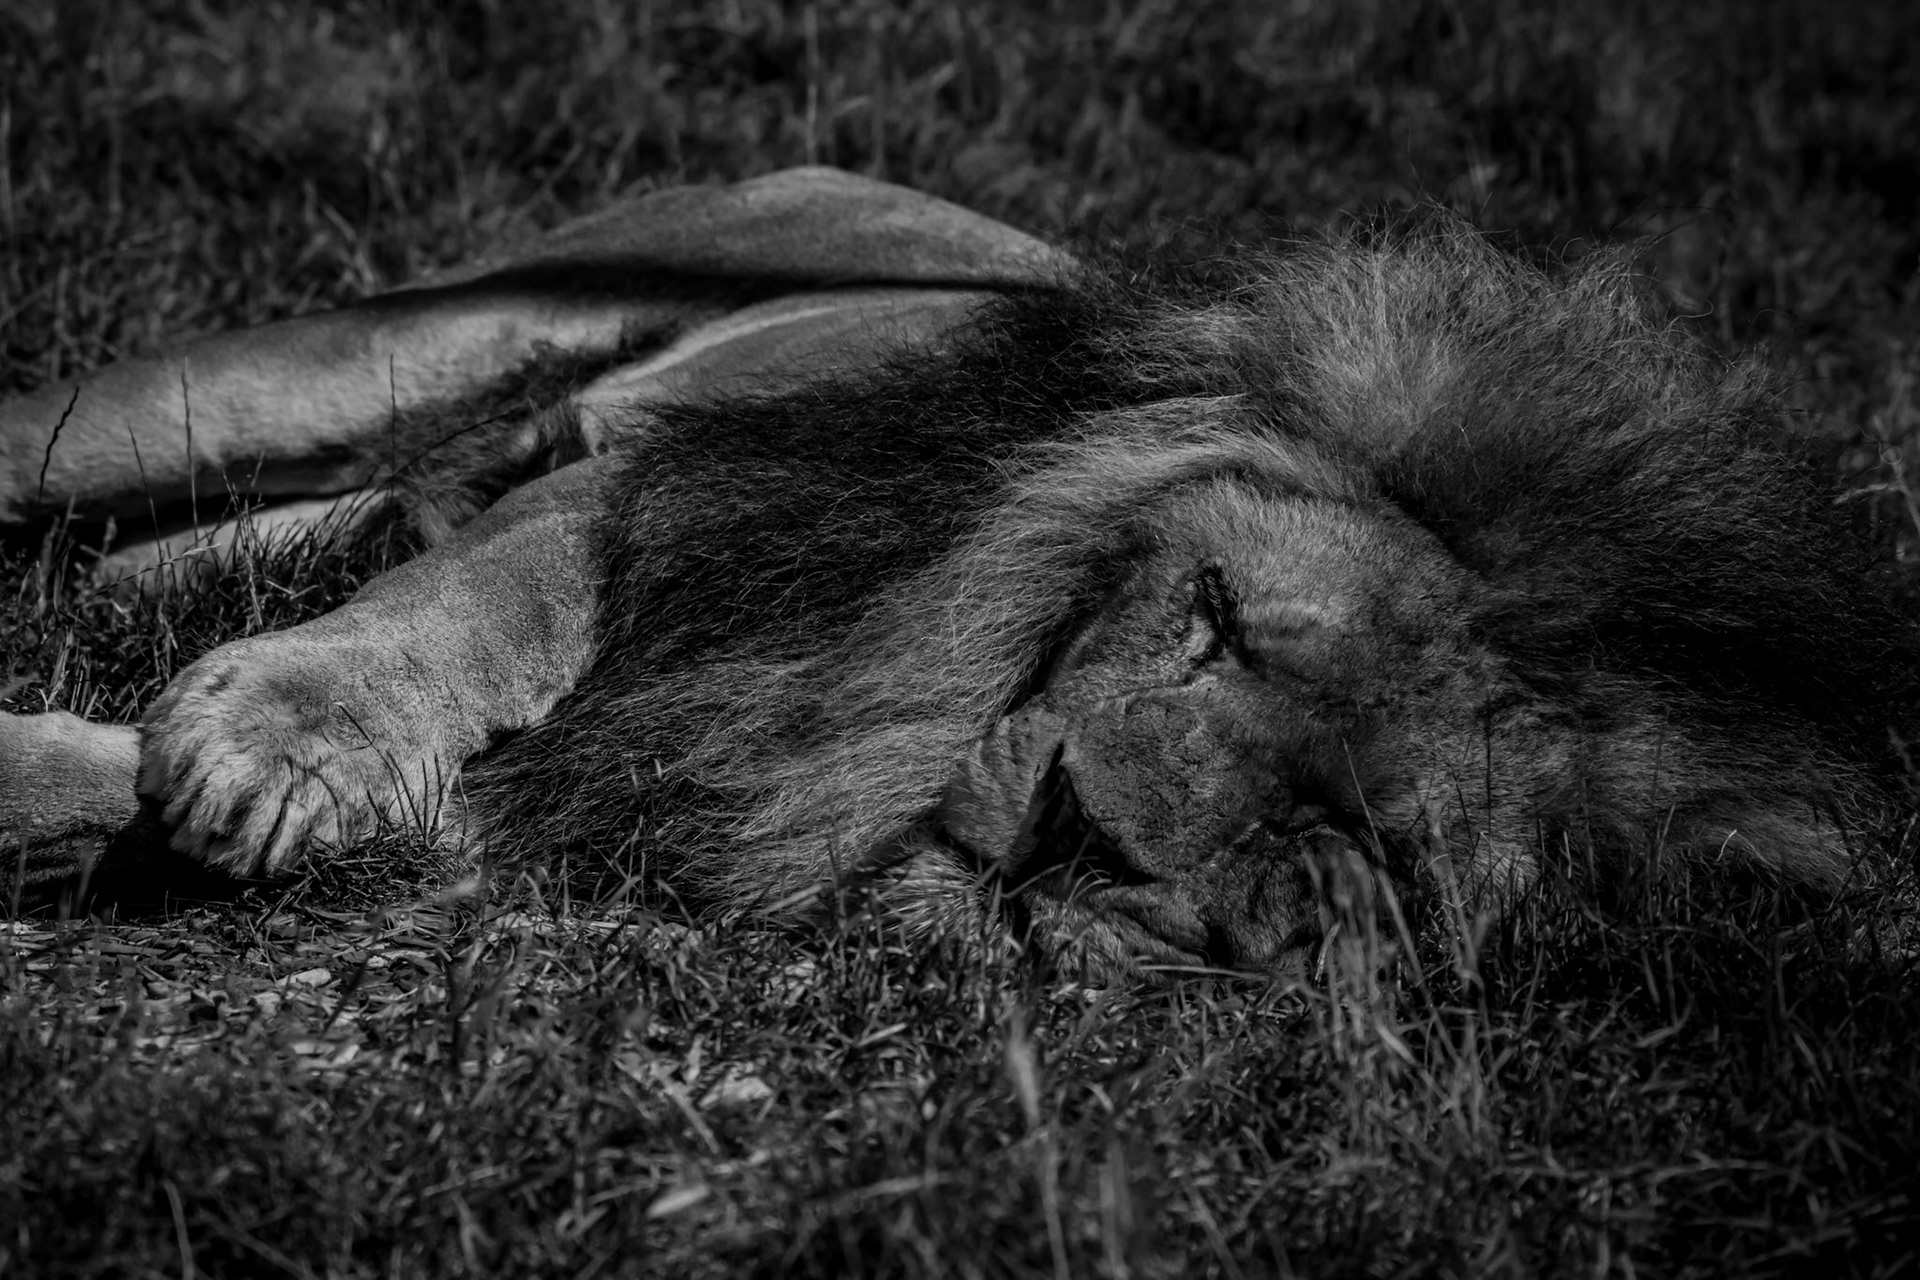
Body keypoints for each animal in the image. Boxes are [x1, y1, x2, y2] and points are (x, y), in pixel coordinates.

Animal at [2, 167, 1914, 975]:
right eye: (1211, 618)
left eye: (1365, 839)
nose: (1079, 835)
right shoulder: (660, 493)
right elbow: (470, 610)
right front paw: (279, 742)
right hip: (331, 362)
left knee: (305, 524)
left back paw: (125, 602)